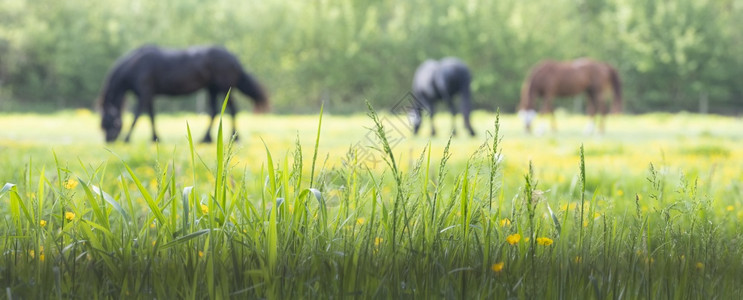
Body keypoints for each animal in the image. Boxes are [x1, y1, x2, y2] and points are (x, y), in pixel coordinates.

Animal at [99, 44, 270, 143]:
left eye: (109, 122)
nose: (108, 140)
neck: (135, 66)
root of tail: (233, 57)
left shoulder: (144, 93)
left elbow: (137, 116)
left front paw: (127, 138)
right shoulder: (150, 96)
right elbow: (152, 116)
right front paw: (155, 138)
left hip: (223, 88)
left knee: (232, 109)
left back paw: (234, 136)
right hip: (212, 89)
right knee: (214, 111)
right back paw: (206, 139)